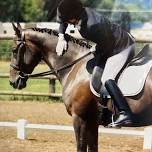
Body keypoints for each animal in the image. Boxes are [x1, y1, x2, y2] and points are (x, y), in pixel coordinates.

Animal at [9, 22, 152, 152]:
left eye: (14, 51)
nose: (13, 81)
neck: (75, 66)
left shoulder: (79, 117)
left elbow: (81, 147)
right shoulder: (92, 121)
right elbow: (93, 147)